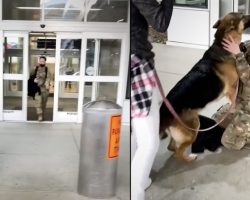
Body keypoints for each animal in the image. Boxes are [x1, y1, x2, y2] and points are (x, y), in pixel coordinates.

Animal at [159, 12, 250, 162]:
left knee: (172, 147)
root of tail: (164, 111)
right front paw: (235, 110)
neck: (222, 43)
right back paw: (190, 158)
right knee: (178, 152)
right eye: (243, 16)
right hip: (194, 128)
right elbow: (234, 103)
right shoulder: (232, 89)